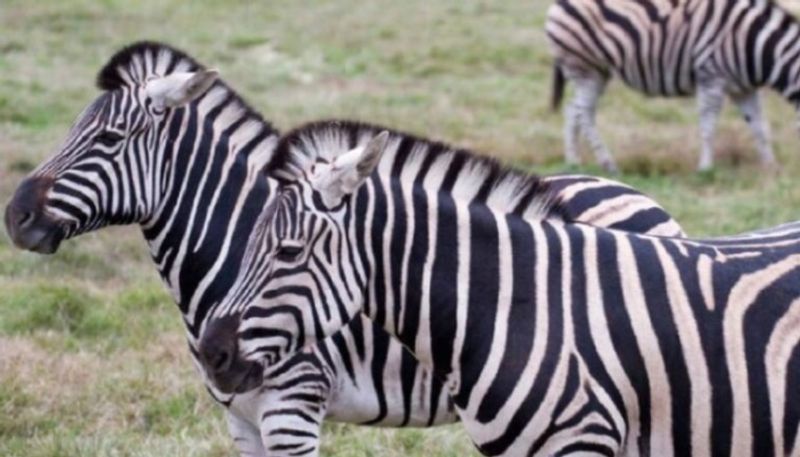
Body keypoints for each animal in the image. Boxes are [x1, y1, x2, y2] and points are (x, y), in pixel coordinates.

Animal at [548, 0, 800, 172]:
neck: (755, 44)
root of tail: (559, 3)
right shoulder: (711, 76)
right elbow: (708, 126)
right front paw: (705, 168)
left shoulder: (744, 88)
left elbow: (760, 127)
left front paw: (770, 166)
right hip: (584, 68)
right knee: (584, 113)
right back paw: (608, 164)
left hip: (597, 72)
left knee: (572, 110)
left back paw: (573, 162)